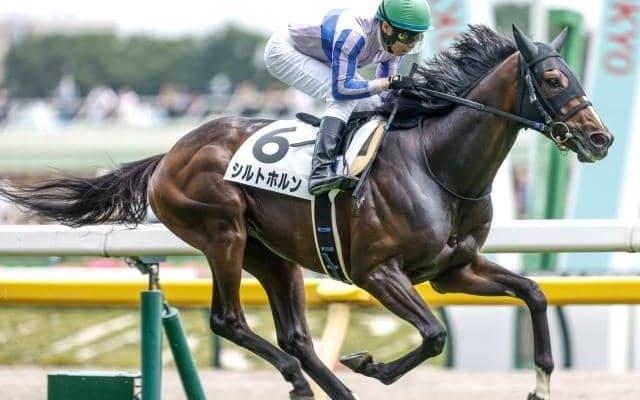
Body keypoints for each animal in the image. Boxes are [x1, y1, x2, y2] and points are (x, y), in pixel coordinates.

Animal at [0, 25, 613, 400]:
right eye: (553, 78)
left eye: (578, 74)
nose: (601, 139)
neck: (437, 164)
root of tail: (170, 153)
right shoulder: (377, 273)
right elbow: (435, 334)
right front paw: (371, 365)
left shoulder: (452, 270)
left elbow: (534, 293)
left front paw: (540, 381)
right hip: (222, 235)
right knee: (229, 320)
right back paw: (301, 379)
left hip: (274, 254)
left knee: (296, 334)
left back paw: (331, 388)